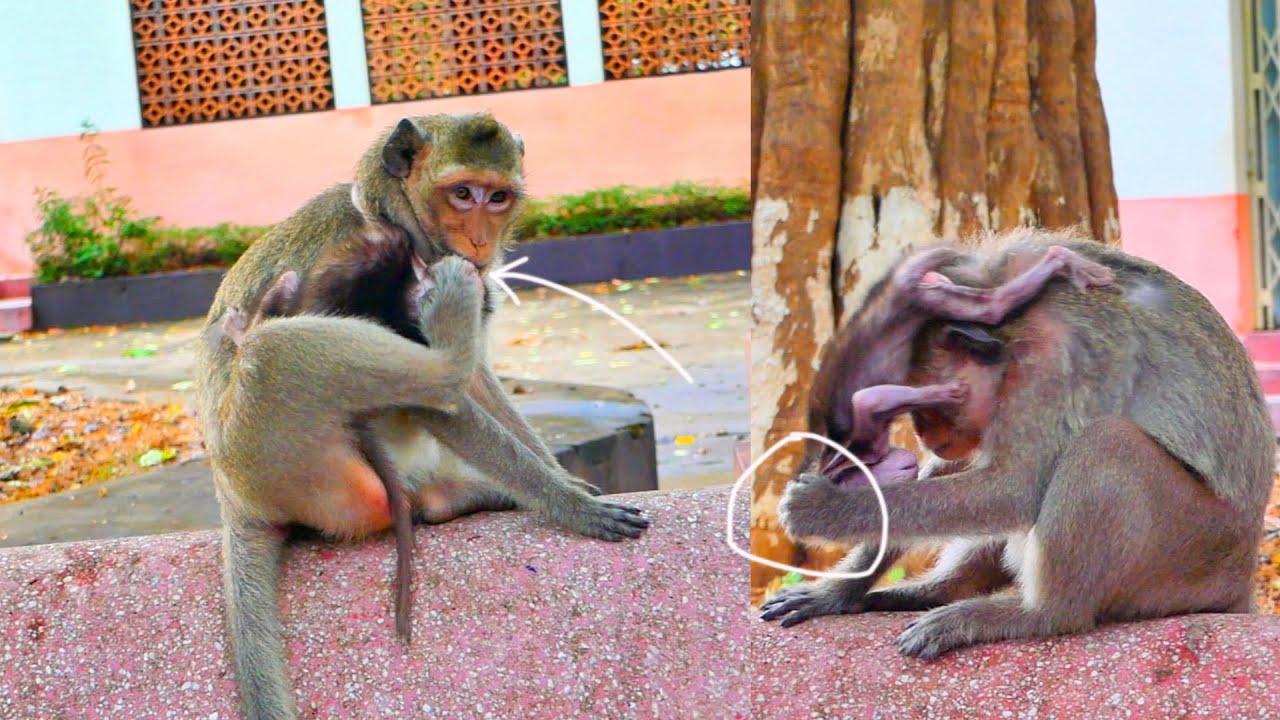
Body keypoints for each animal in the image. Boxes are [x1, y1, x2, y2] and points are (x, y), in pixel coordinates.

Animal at [194, 114, 649, 720]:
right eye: (461, 194)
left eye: (497, 197)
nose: (480, 241)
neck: (389, 210)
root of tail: (233, 499)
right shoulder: (377, 259)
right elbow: (436, 399)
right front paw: (569, 504)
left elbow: (480, 383)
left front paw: (562, 479)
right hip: (270, 449)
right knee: (282, 353)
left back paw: (450, 497)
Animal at [765, 228, 1273, 660]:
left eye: (930, 405)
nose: (930, 436)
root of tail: (1239, 578)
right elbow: (961, 473)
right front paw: (838, 589)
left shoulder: (1049, 361)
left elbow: (1015, 488)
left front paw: (827, 510)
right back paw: (935, 591)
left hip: (1193, 551)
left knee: (1105, 444)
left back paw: (1037, 614)